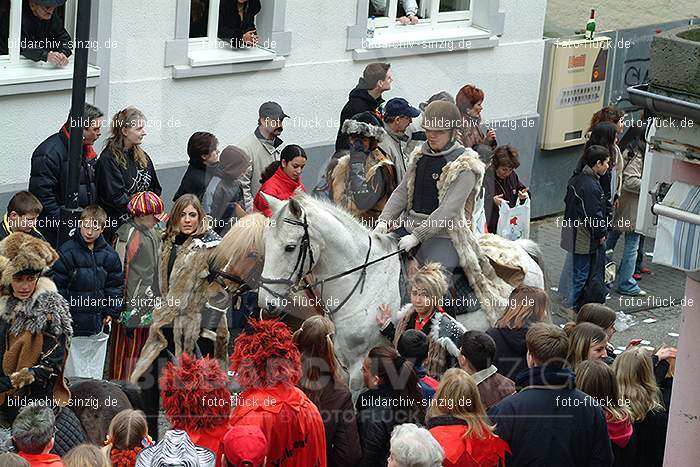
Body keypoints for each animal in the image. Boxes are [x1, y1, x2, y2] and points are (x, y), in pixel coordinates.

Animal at [260, 192, 544, 394]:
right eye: (266, 243)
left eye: (289, 247)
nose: (266, 302)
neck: (364, 281)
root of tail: (520, 250)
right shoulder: (343, 360)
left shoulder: (360, 367)